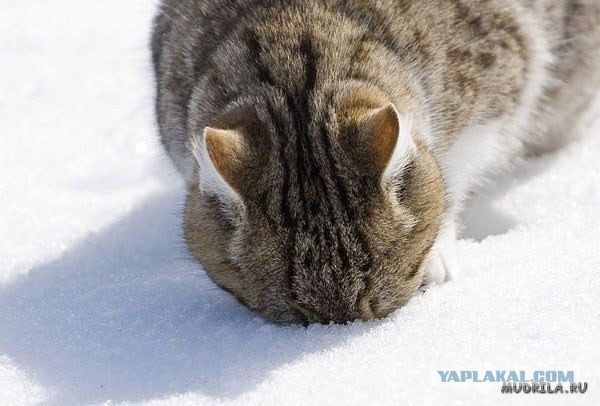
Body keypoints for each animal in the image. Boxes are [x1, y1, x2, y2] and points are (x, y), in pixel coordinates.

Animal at [151, 0, 600, 324]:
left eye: (378, 302)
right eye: (300, 315)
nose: (345, 327)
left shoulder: (502, 75)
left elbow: (458, 166)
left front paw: (439, 252)